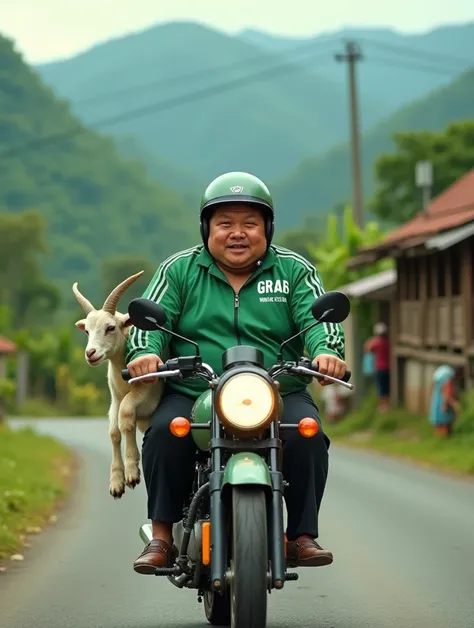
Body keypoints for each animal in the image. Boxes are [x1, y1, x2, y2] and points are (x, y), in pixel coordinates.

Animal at [72, 272, 164, 498]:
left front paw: (132, 473)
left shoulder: (148, 394)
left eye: (110, 327)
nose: (90, 353)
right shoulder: (115, 399)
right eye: (87, 331)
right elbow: (114, 432)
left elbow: (126, 415)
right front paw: (116, 482)